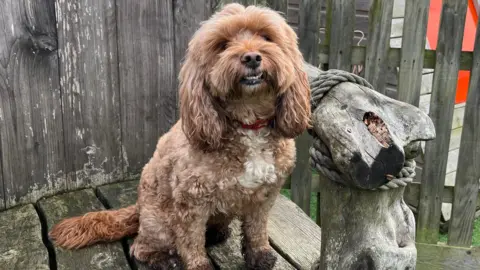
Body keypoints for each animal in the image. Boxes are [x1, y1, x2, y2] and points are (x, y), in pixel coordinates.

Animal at [48, 3, 312, 268]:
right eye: (223, 45)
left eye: (267, 37)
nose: (252, 57)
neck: (248, 124)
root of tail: (139, 208)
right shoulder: (190, 201)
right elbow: (190, 241)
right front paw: (199, 265)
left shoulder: (264, 196)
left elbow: (257, 228)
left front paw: (259, 255)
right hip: (159, 222)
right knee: (141, 247)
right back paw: (165, 260)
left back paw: (216, 232)